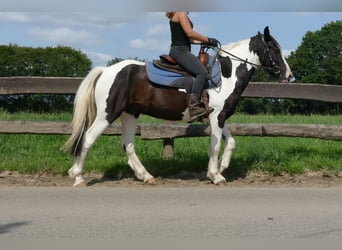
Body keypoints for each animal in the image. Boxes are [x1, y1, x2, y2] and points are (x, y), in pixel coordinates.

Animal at [61, 26, 292, 187]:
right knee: (88, 139)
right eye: (273, 48)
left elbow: (231, 142)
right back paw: (78, 177)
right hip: (107, 114)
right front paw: (215, 175)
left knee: (128, 144)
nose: (289, 76)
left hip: (130, 114)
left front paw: (222, 168)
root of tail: (106, 70)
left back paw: (146, 176)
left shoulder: (218, 116)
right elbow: (215, 145)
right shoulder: (217, 116)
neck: (227, 73)